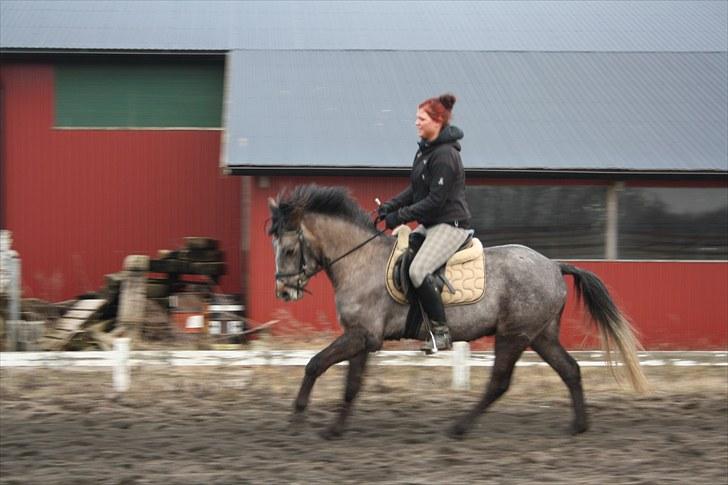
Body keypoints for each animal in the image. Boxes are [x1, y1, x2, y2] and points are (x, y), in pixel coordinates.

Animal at [267, 184, 648, 439]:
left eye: (289, 250)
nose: (283, 292)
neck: (359, 260)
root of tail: (554, 265)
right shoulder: (361, 337)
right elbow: (351, 384)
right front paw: (333, 429)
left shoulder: (361, 336)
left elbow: (315, 364)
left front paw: (298, 418)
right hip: (540, 335)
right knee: (570, 370)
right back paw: (578, 426)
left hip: (513, 335)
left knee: (499, 382)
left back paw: (459, 427)